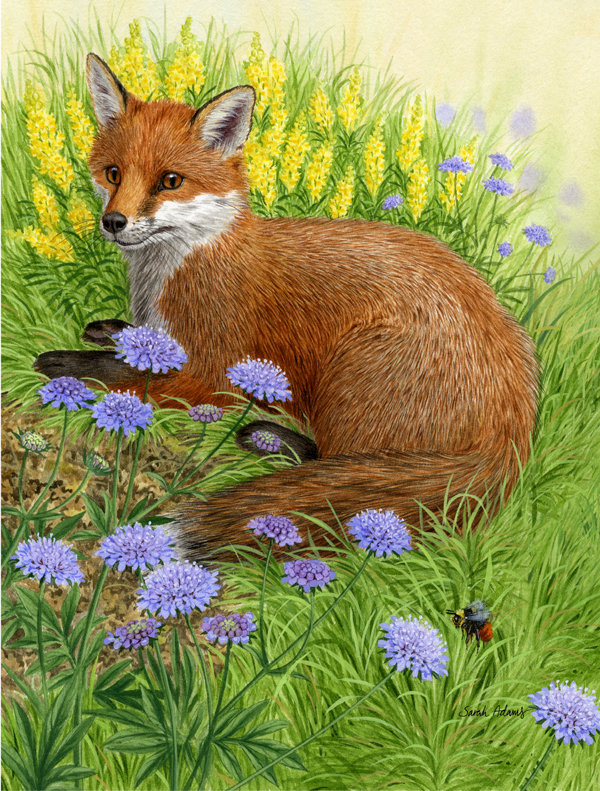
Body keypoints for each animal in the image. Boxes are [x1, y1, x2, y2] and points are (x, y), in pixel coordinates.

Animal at [34, 53, 539, 559]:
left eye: (170, 181)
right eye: (113, 173)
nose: (113, 222)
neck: (173, 273)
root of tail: (514, 431)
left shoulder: (211, 373)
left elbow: (121, 375)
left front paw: (63, 364)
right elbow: (134, 345)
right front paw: (109, 331)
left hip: (348, 374)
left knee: (336, 462)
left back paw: (270, 438)